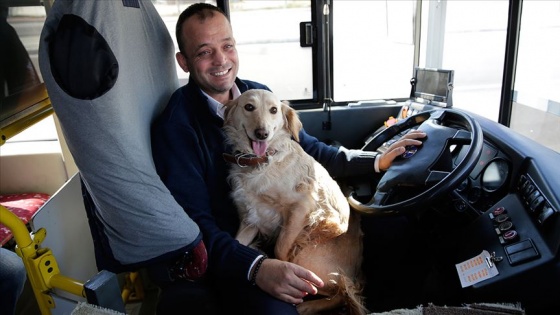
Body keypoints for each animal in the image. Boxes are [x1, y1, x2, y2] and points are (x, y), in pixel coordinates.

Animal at [223, 89, 368, 315]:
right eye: (249, 107)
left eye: (274, 110)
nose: (262, 133)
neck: (262, 162)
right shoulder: (250, 218)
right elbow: (237, 242)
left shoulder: (301, 207)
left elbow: (281, 248)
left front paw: (284, 274)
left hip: (307, 254)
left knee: (342, 291)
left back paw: (307, 305)